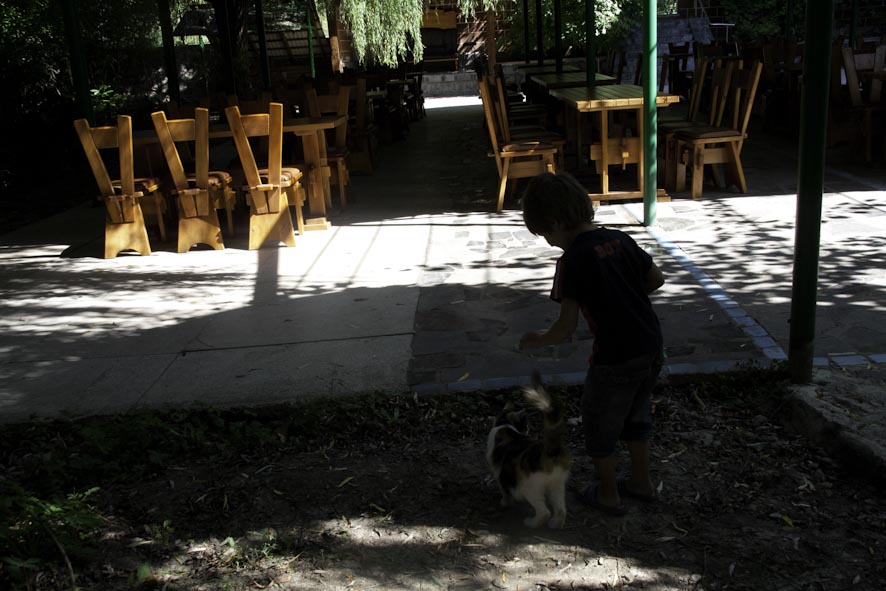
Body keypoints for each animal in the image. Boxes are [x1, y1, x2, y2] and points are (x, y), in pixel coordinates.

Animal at [486, 371, 573, 529]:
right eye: (525, 425)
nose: (527, 429)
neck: (506, 425)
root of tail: (551, 449)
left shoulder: (500, 473)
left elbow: (504, 490)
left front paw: (505, 503)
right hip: (557, 485)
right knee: (561, 509)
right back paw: (555, 525)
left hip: (530, 488)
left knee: (544, 512)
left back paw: (531, 523)